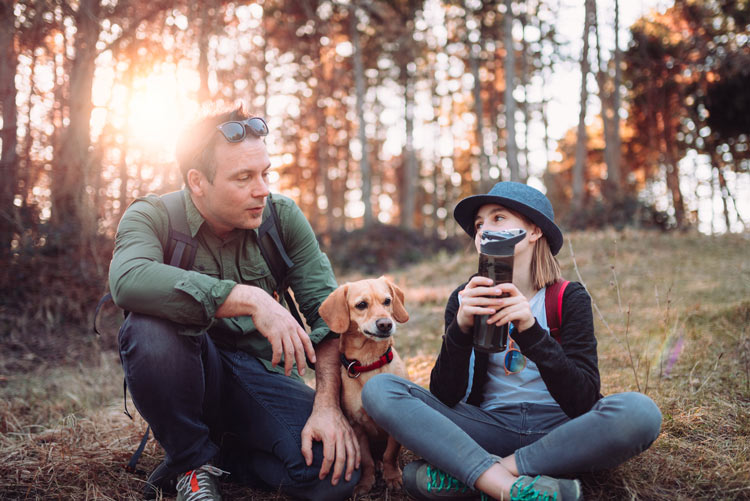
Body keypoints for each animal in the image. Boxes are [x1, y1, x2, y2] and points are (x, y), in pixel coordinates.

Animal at [318, 276, 412, 494]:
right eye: (361, 305)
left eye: (387, 301)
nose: (386, 324)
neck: (370, 362)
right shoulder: (356, 426)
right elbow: (366, 460)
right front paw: (365, 483)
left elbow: (389, 455)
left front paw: (393, 477)